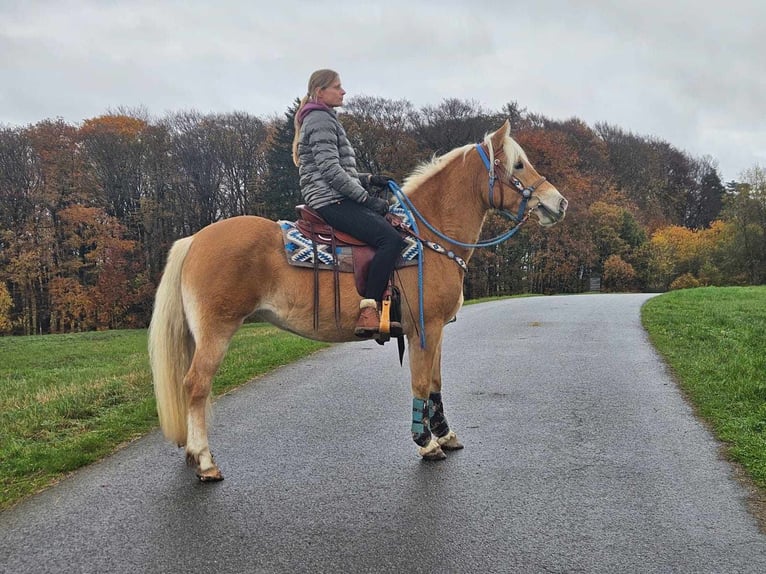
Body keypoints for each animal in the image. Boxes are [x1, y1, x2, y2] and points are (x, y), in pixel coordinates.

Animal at [152, 120, 568, 482]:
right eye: (518, 164)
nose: (559, 203)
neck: (426, 238)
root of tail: (195, 239)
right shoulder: (423, 329)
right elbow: (420, 382)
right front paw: (425, 443)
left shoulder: (436, 331)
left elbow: (435, 381)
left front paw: (445, 435)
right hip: (216, 331)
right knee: (196, 386)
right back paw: (206, 462)